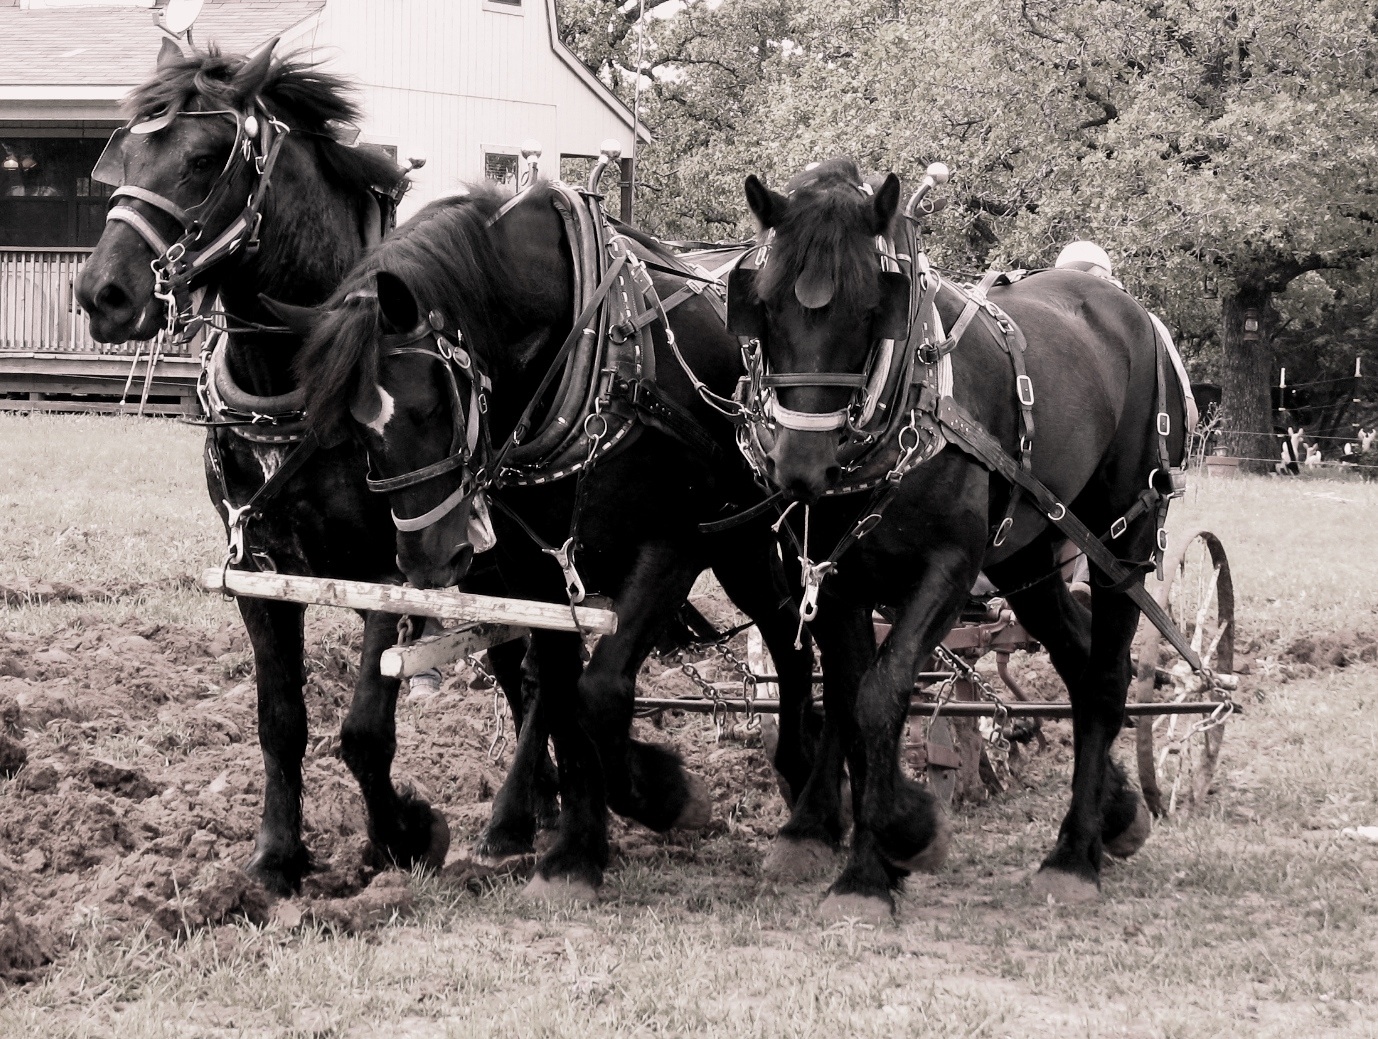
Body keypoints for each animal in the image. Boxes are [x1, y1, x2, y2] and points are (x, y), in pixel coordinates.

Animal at [68, 42, 542, 892]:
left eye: (202, 158)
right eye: (120, 152)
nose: (103, 293)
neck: (297, 382)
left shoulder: (393, 573)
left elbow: (363, 730)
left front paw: (402, 837)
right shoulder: (260, 573)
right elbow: (280, 720)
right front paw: (278, 857)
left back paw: (528, 816)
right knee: (519, 669)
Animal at [290, 184, 826, 892]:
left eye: (432, 406)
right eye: (356, 429)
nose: (427, 561)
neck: (599, 357)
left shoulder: (673, 545)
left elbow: (597, 695)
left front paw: (662, 795)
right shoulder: (532, 566)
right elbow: (564, 692)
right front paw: (577, 845)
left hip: (741, 537)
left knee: (789, 637)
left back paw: (804, 786)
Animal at [733, 157, 1185, 909]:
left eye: (869, 310)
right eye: (764, 306)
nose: (800, 468)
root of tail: (1129, 309)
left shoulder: (947, 568)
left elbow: (881, 695)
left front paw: (893, 845)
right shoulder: (835, 577)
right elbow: (850, 700)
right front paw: (865, 851)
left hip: (1121, 541)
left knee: (1106, 673)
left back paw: (1076, 854)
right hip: (1028, 557)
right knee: (1079, 659)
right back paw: (1115, 815)